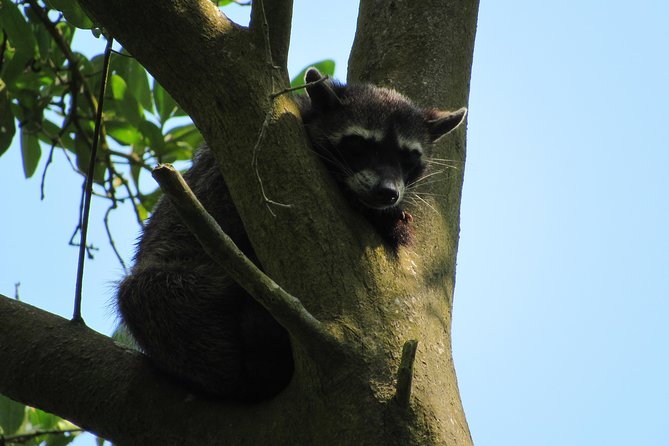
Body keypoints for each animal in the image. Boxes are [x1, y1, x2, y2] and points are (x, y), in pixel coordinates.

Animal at [116, 68, 464, 402]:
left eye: (408, 156)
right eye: (359, 144)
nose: (387, 193)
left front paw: (391, 217)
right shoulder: (240, 168)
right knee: (143, 294)